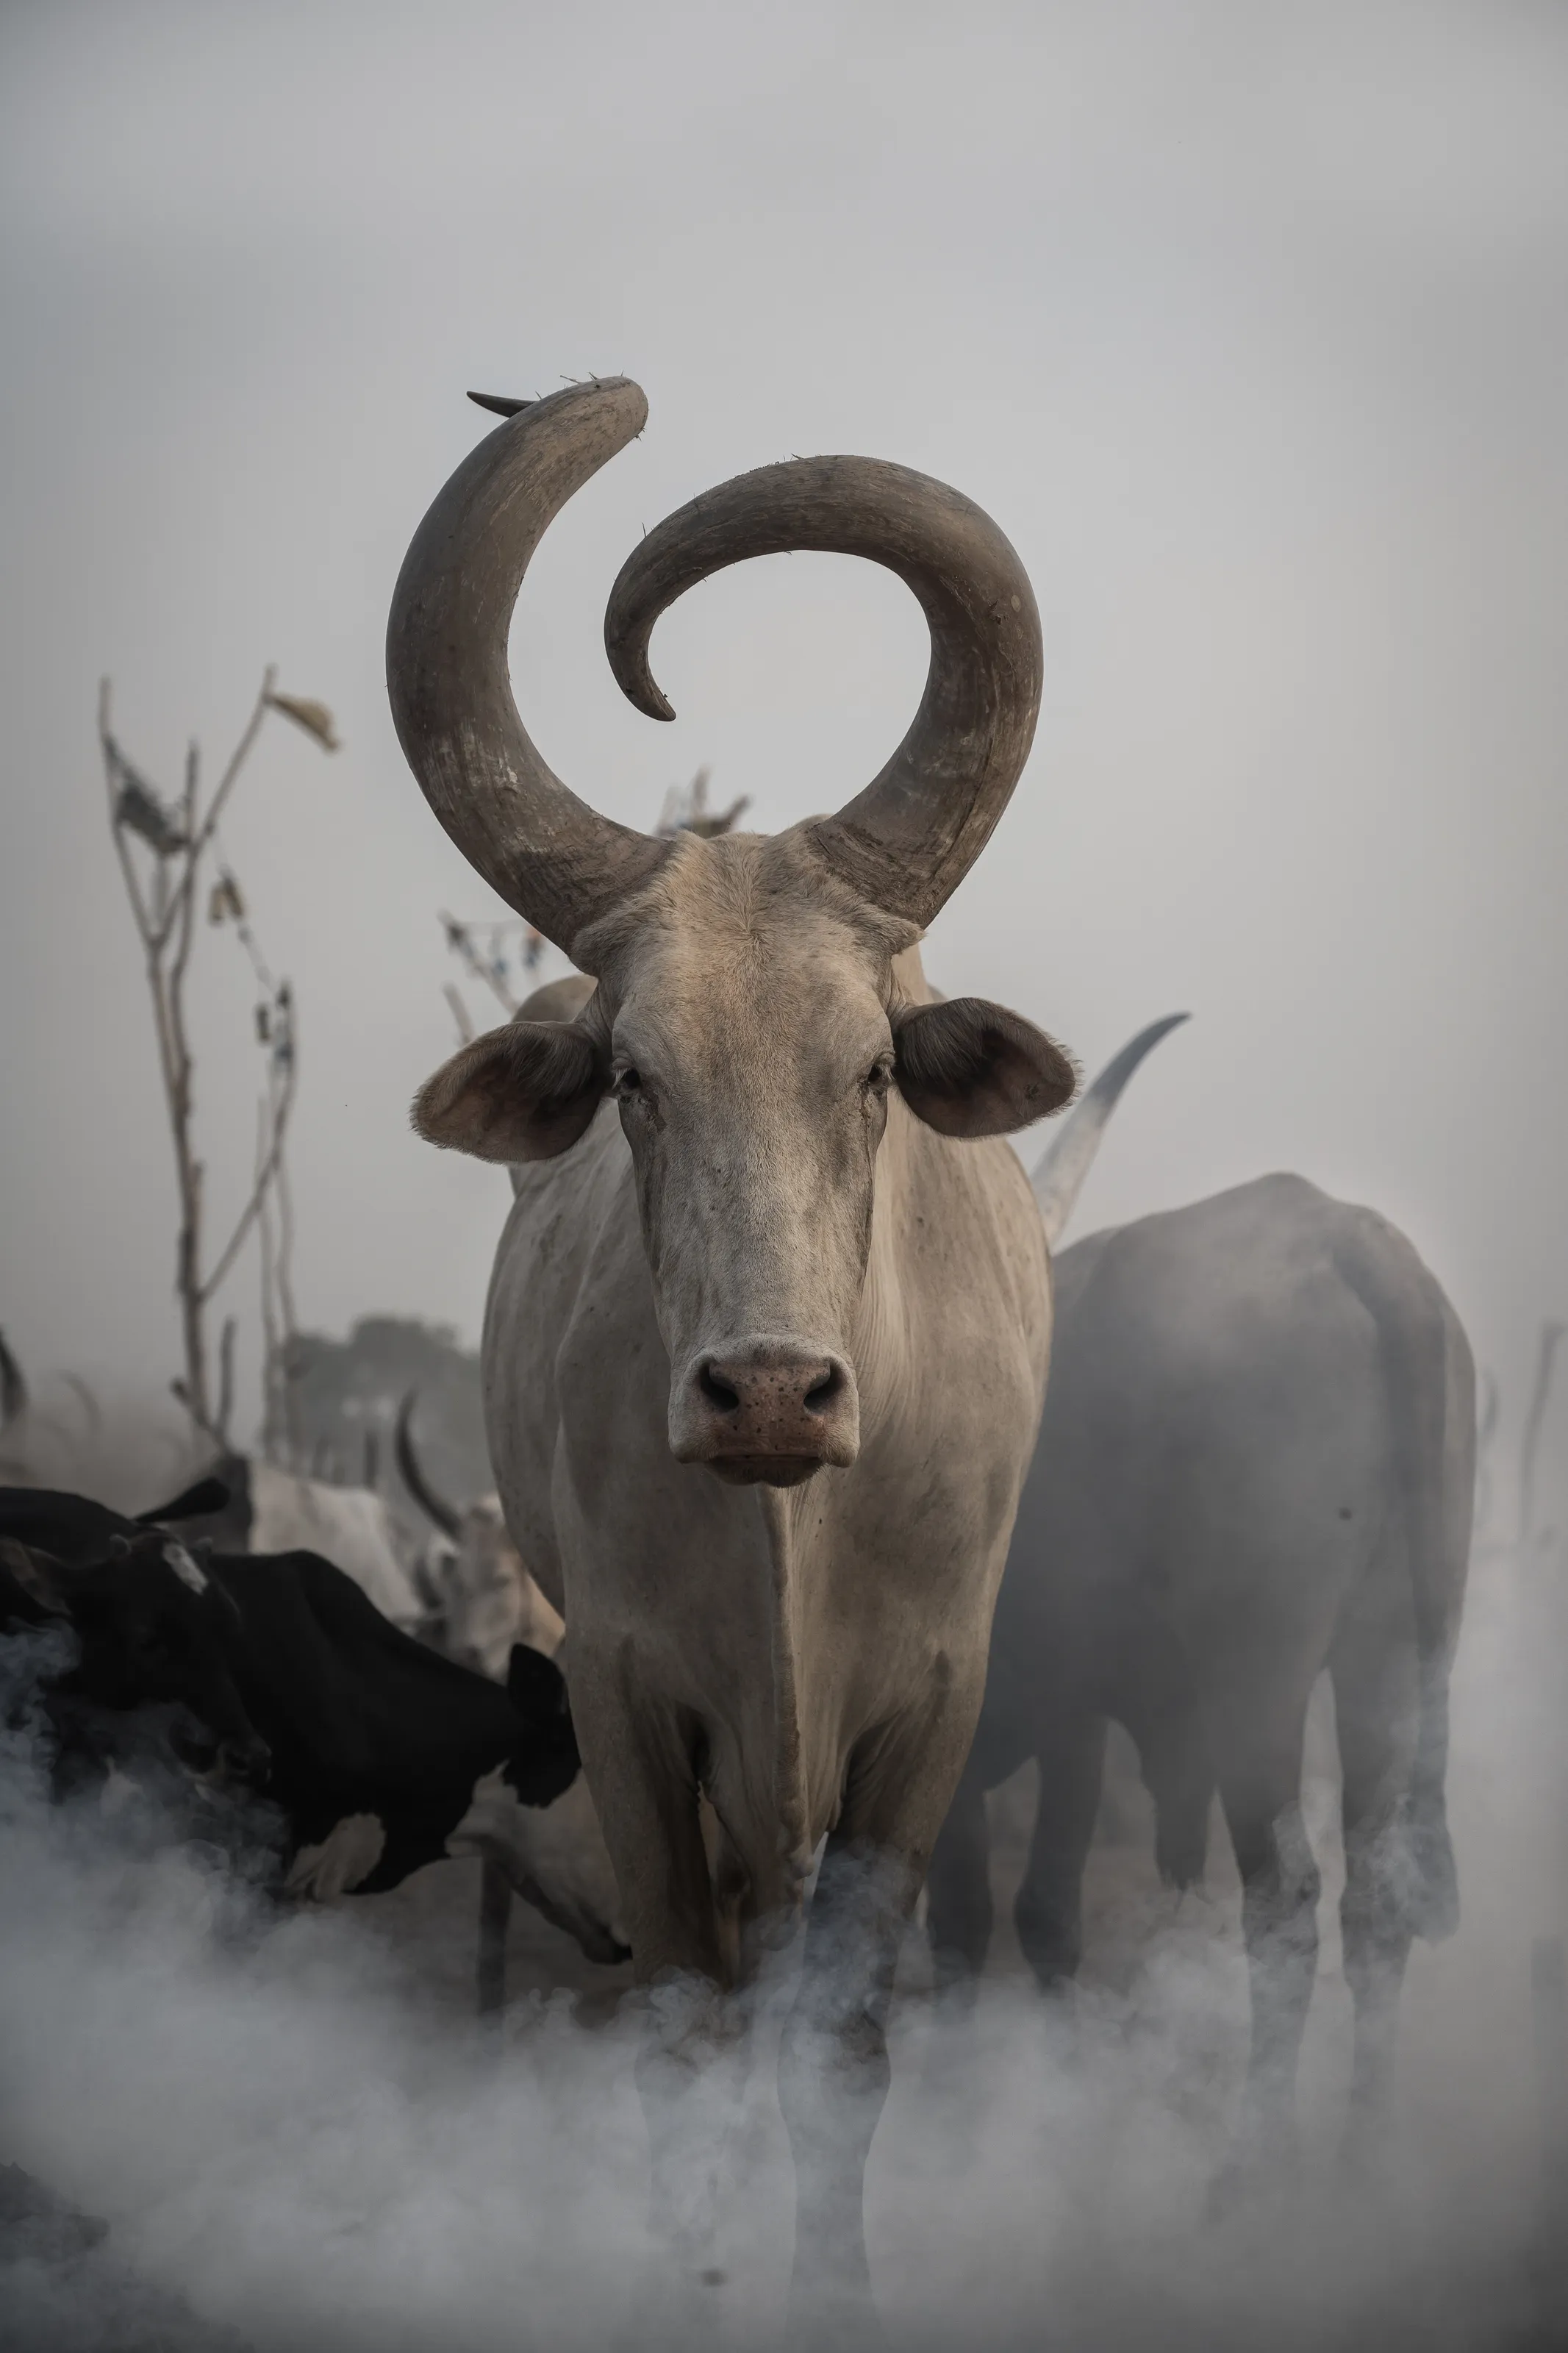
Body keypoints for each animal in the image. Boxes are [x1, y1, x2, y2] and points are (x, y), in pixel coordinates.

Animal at [386, 375, 1102, 2328]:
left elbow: (840, 2050)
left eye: (869, 1069)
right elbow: (688, 2038)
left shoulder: (928, 1708)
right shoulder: (624, 1699)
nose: (768, 1390)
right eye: (632, 1077)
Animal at [926, 1057, 1474, 2188]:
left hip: (1255, 1677)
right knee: (1376, 1889)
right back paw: (1364, 2147)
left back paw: (1250, 2165)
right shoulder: (1075, 1719)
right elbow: (1046, 1912)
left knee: (1285, 1896)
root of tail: (1350, 1238)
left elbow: (962, 1922)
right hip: (1390, 1661)